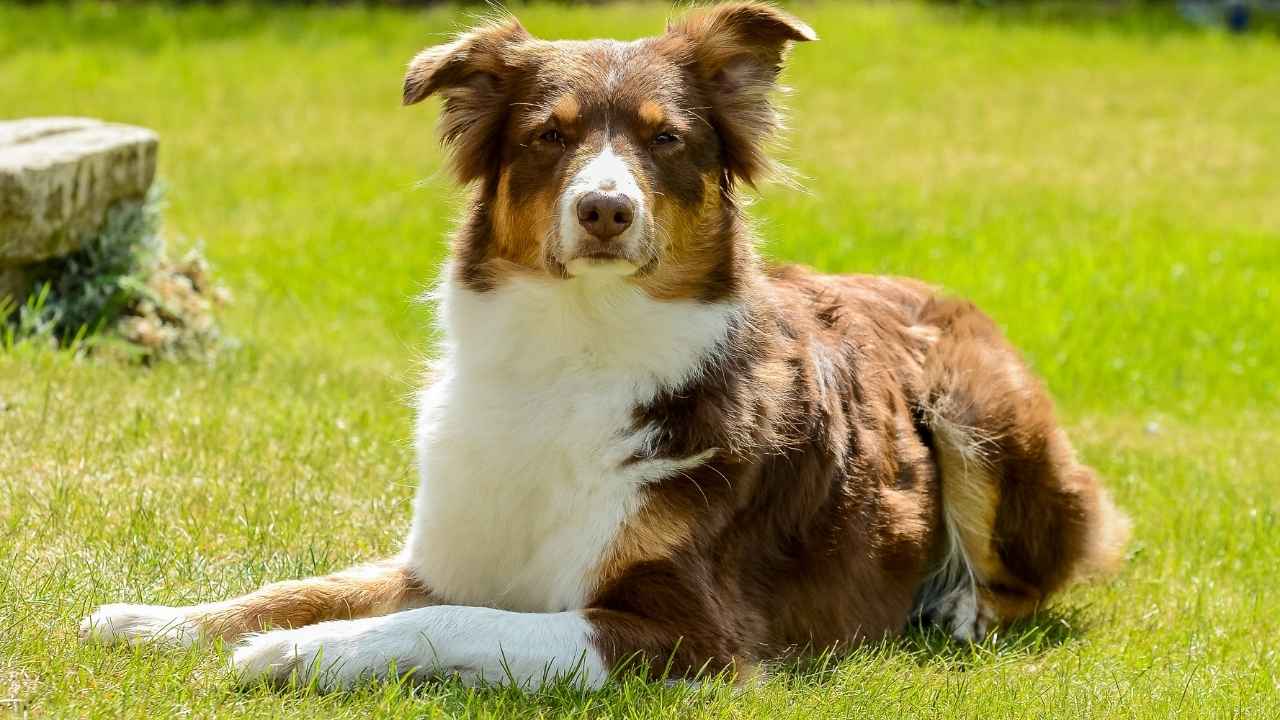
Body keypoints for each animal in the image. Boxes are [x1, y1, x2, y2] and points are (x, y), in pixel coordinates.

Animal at [80, 1, 1131, 691]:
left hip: (977, 410)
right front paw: (157, 620)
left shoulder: (691, 635)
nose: (605, 209)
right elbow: (302, 586)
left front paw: (299, 656)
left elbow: (448, 621)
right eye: (550, 136)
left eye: (666, 141)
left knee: (1034, 569)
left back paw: (955, 606)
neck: (576, 352)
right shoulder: (442, 553)